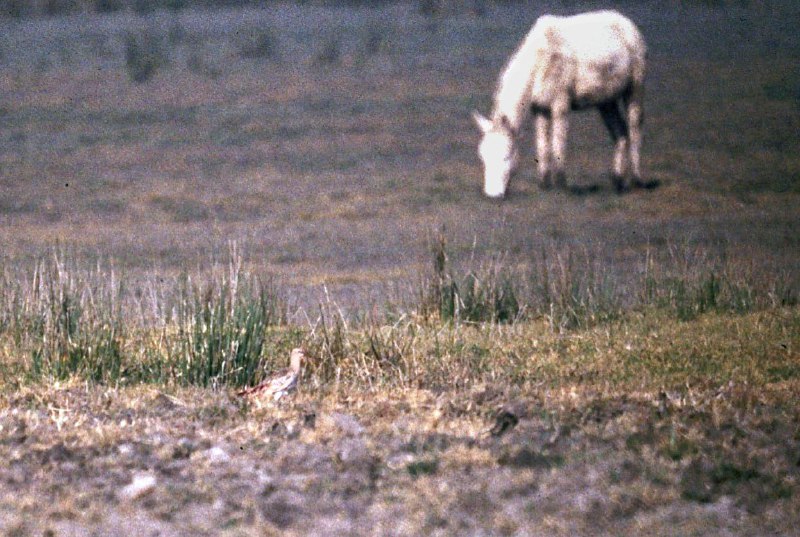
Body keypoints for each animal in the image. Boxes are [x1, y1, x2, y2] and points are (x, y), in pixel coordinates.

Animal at [472, 9, 648, 198]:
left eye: (505, 156)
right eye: (482, 157)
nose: (493, 195)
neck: (539, 59)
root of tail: (629, 24)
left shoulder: (560, 106)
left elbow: (557, 144)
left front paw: (561, 184)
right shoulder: (540, 109)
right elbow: (542, 146)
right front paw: (544, 183)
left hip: (634, 91)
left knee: (634, 130)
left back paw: (636, 180)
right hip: (607, 102)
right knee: (621, 133)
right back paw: (618, 181)